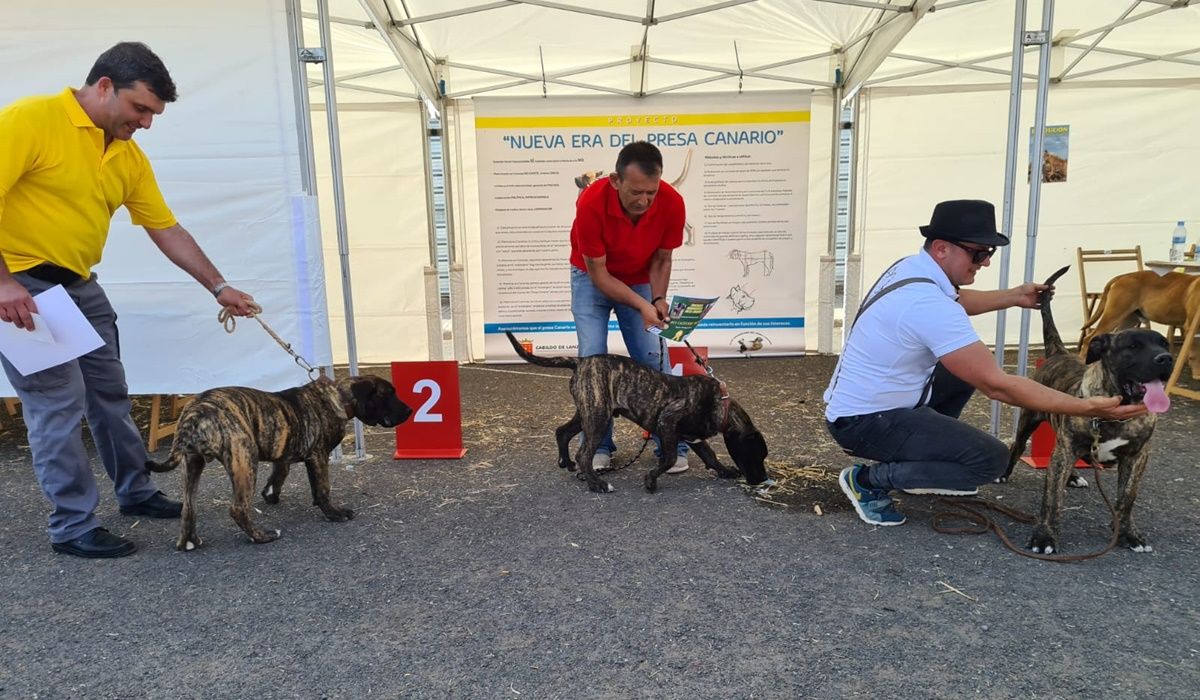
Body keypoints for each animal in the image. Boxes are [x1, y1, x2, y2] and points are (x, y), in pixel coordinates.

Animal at [145, 374, 412, 549]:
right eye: (389, 395)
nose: (409, 411)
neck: (338, 398)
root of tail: (195, 412)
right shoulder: (318, 455)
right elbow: (323, 487)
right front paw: (334, 513)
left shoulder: (286, 452)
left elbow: (281, 475)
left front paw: (271, 494)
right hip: (244, 458)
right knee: (238, 508)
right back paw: (260, 536)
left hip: (192, 464)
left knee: (189, 507)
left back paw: (188, 541)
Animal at [504, 333, 768, 492]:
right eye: (756, 454)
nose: (763, 480)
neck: (720, 403)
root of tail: (580, 361)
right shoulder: (667, 422)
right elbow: (670, 457)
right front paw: (651, 480)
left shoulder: (694, 437)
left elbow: (710, 456)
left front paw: (726, 471)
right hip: (598, 417)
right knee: (584, 454)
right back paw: (597, 483)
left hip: (588, 412)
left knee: (562, 432)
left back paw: (566, 463)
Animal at [1003, 265, 1171, 557]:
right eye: (1133, 346)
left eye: (1165, 345)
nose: (1166, 359)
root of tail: (1058, 352)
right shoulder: (1065, 450)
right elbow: (1052, 499)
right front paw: (1044, 537)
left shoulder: (1137, 456)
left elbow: (1128, 497)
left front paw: (1128, 533)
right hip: (1030, 421)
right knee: (1018, 447)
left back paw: (1073, 476)